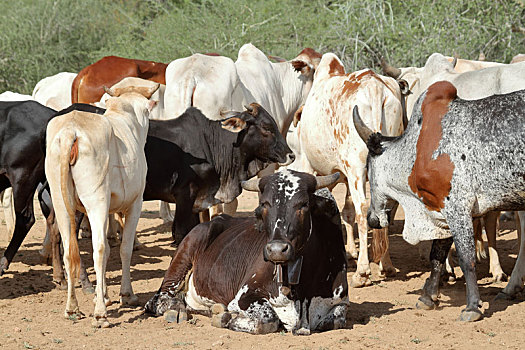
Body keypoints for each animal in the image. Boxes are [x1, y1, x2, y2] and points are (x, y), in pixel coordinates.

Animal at [44, 80, 159, 326]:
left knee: (69, 250)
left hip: (62, 202)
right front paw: (125, 294)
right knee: (98, 249)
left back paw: (72, 307)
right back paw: (100, 314)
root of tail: (71, 131)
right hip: (95, 201)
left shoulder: (106, 210)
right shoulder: (135, 203)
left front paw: (103, 294)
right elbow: (124, 249)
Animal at [144, 171, 348, 334]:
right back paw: (176, 309)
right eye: (264, 204)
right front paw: (225, 318)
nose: (277, 250)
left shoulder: (341, 303)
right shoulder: (244, 296)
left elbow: (337, 319)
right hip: (185, 252)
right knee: (159, 298)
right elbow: (269, 319)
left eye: (303, 204)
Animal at [352, 80, 524, 322]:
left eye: (368, 169)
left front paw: (472, 307)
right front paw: (428, 298)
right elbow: (437, 256)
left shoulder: (458, 208)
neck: (416, 148)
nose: (372, 219)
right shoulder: (442, 210)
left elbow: (467, 258)